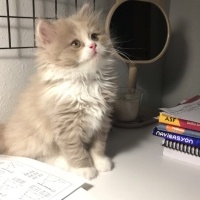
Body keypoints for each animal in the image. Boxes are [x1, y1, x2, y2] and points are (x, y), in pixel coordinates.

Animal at [0, 4, 117, 180]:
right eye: (75, 44)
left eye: (94, 36)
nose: (93, 46)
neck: (86, 81)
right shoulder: (66, 126)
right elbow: (76, 150)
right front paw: (84, 169)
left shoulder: (103, 120)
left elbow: (98, 145)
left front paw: (100, 161)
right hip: (34, 140)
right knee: (40, 156)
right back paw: (63, 162)